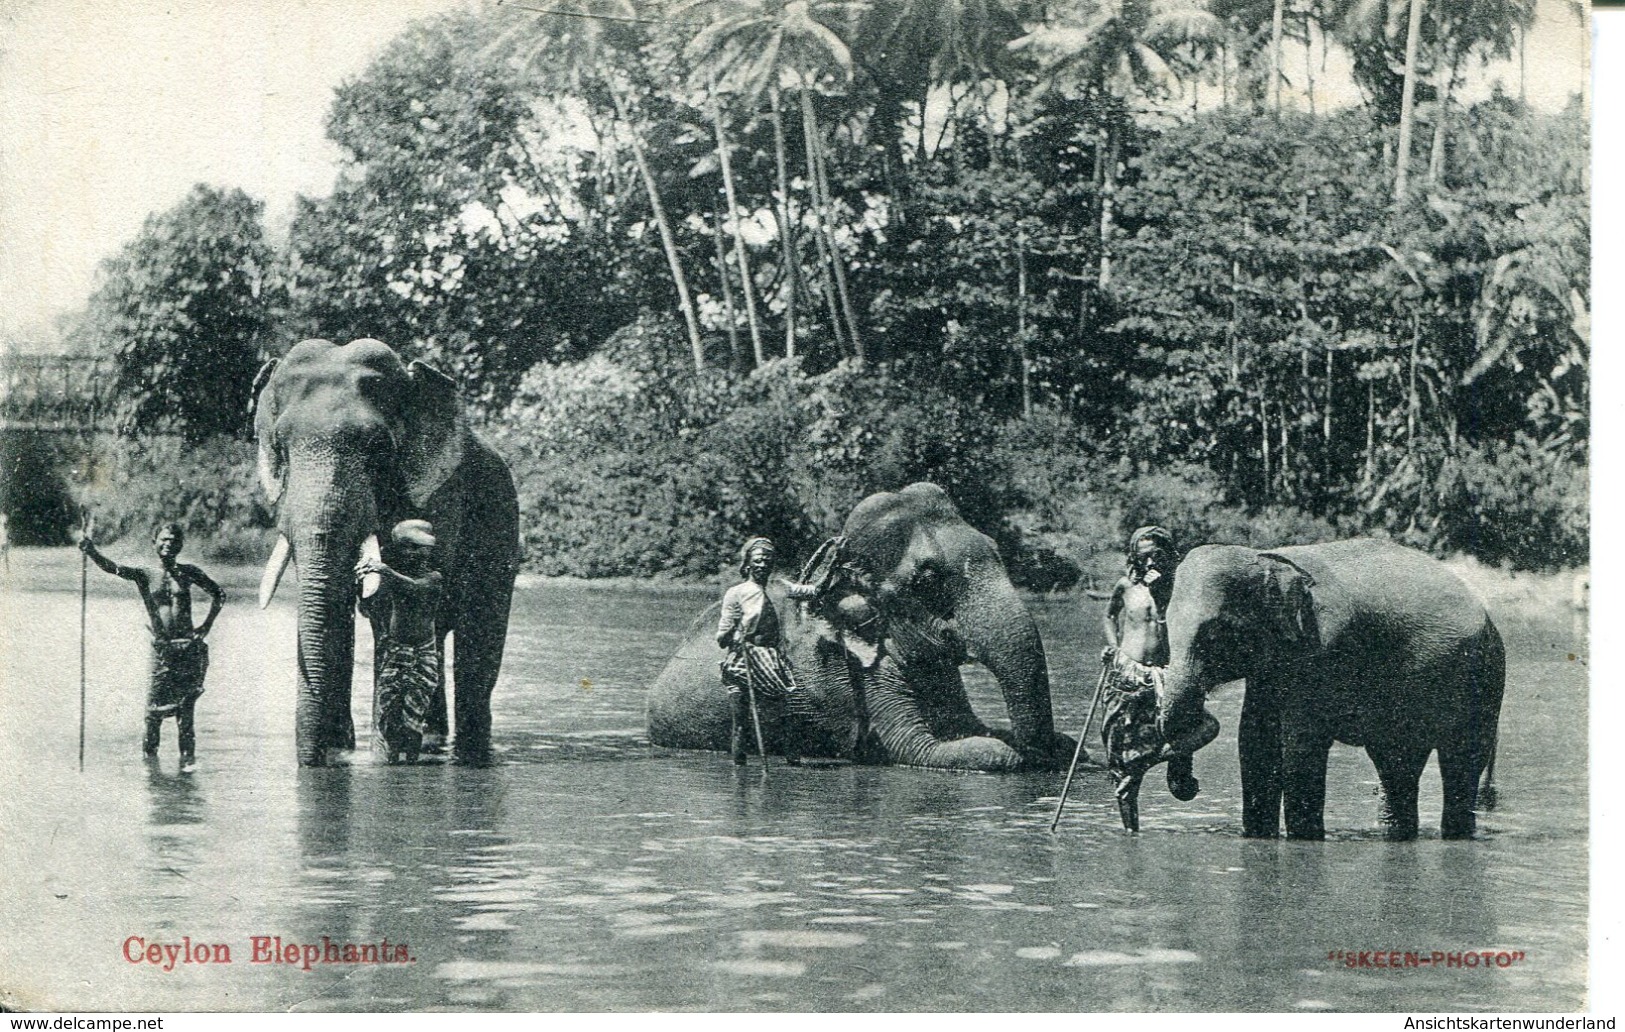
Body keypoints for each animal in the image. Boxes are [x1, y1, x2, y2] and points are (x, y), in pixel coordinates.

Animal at [250, 339, 516, 767]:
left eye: (378, 450)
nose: (310, 762)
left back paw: (467, 752)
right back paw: (431, 741)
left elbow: (388, 602)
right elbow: (338, 603)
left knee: (479, 633)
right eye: (280, 448)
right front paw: (339, 753)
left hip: (503, 522)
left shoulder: (440, 497)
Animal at [643, 481, 1079, 767]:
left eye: (995, 549)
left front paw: (1071, 747)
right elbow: (921, 748)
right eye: (926, 580)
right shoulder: (855, 673)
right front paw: (1011, 752)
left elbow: (968, 726)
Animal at [1150, 539, 1501, 838]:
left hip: (1483, 678)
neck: (1270, 558)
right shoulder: (1272, 667)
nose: (1193, 785)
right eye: (1165, 625)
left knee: (1462, 762)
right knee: (1396, 762)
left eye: (1216, 634)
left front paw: (1304, 839)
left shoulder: (1322, 650)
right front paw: (1258, 837)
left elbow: (1301, 746)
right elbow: (1254, 741)